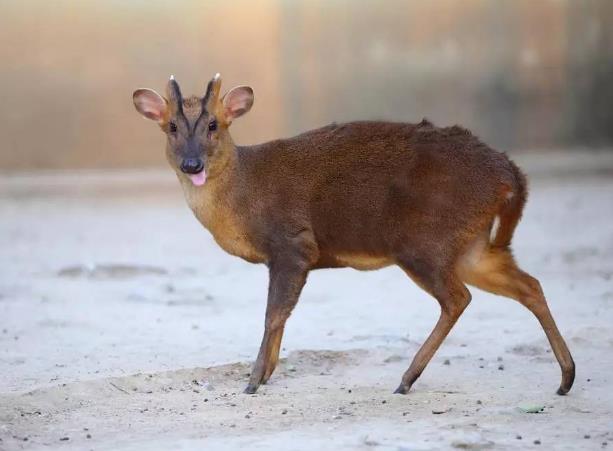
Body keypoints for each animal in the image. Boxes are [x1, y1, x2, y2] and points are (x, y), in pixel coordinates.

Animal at [133, 73, 572, 396]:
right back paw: (566, 378)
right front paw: (267, 372)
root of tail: (509, 174)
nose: (192, 164)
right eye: (171, 126)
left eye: (213, 124)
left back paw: (406, 379)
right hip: (472, 245)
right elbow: (280, 316)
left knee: (458, 298)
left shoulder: (293, 242)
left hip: (424, 240)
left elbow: (274, 314)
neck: (243, 194)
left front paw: (254, 381)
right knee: (529, 285)